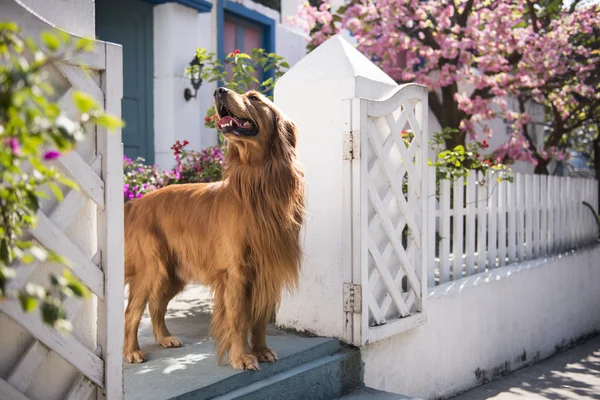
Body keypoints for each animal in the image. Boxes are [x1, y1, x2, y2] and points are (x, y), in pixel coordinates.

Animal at [125, 87, 308, 368]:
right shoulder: (237, 273)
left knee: (157, 305)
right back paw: (132, 351)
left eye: (254, 98)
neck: (259, 182)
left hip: (173, 272)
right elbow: (239, 318)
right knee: (132, 311)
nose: (219, 90)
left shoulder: (268, 270)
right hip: (150, 268)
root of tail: (137, 203)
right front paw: (243, 357)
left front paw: (262, 350)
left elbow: (259, 319)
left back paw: (164, 337)